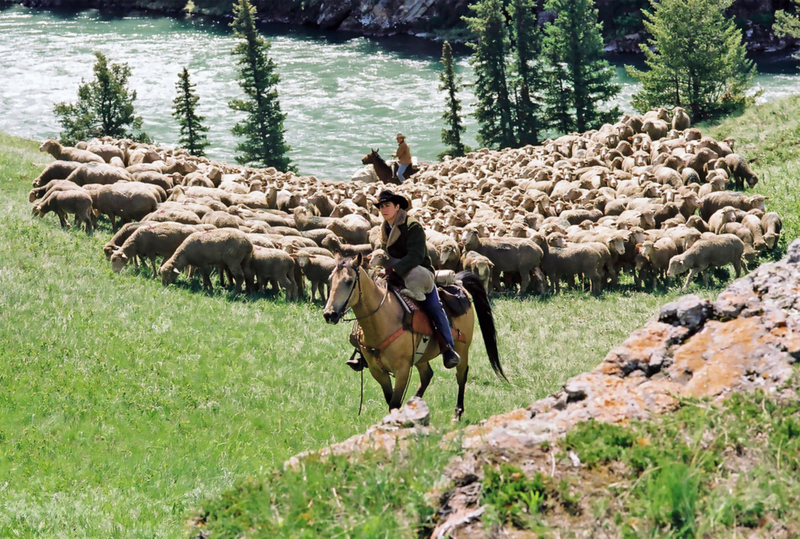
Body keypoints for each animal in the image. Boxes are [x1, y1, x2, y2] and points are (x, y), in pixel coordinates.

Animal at [322, 255, 504, 424]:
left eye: (348, 281)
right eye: (330, 279)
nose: (329, 314)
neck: (382, 318)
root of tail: (459, 283)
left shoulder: (402, 370)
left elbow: (394, 403)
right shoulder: (377, 371)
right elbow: (390, 399)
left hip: (462, 349)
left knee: (461, 375)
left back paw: (457, 413)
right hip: (420, 356)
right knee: (427, 375)